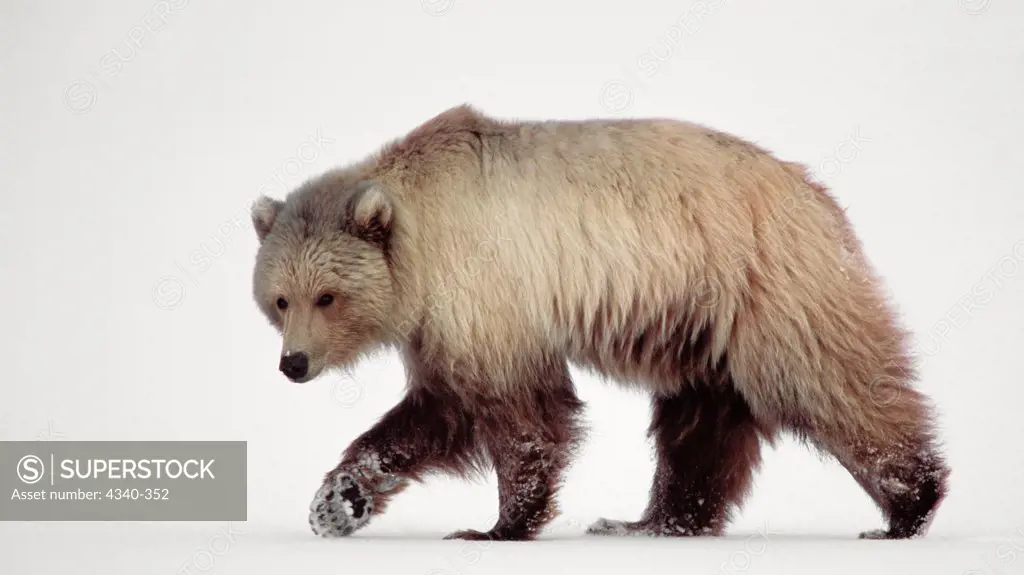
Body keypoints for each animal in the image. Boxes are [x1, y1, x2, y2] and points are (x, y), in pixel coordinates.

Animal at [249, 105, 950, 540]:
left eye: (326, 296)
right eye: (279, 299)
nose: (293, 364)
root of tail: (816, 193)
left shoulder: (486, 287)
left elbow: (521, 413)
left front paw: (496, 525)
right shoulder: (437, 324)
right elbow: (436, 412)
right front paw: (338, 502)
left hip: (763, 285)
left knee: (833, 382)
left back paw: (907, 504)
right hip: (698, 323)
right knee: (700, 421)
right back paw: (658, 519)